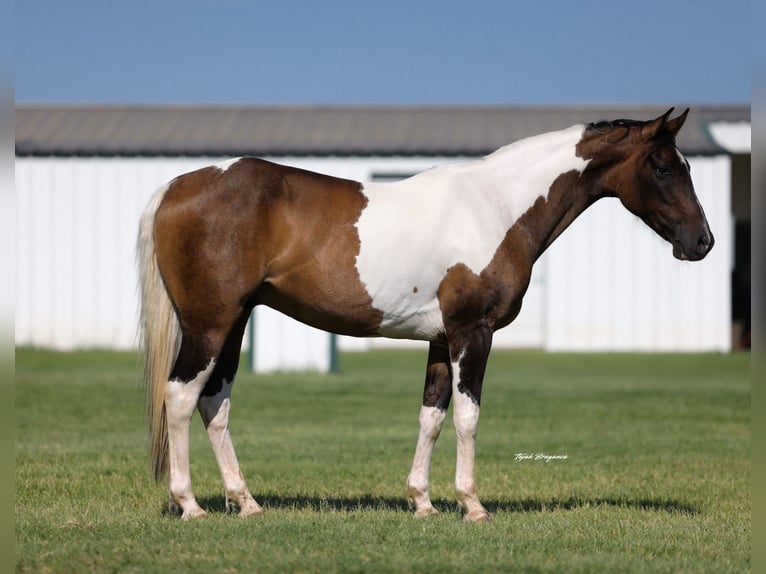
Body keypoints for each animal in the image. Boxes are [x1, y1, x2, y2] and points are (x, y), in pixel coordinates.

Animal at [137, 108, 713, 522]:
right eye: (663, 167)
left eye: (685, 168)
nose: (703, 242)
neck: (497, 207)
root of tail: (178, 186)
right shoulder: (472, 332)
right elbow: (467, 416)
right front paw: (472, 506)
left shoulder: (440, 339)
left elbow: (431, 416)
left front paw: (423, 502)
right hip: (210, 325)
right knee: (182, 397)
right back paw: (191, 505)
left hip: (233, 324)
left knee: (215, 403)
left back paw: (246, 502)